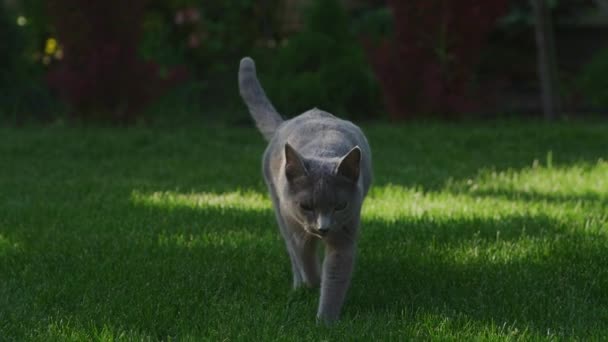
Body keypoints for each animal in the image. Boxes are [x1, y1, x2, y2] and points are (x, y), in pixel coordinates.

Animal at [238, 56, 370, 324]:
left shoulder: (346, 232)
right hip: (277, 205)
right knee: (292, 251)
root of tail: (287, 121)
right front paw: (312, 283)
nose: (323, 227)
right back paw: (299, 285)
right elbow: (303, 256)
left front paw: (326, 321)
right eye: (306, 205)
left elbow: (335, 277)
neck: (323, 151)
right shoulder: (294, 224)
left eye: (340, 206)